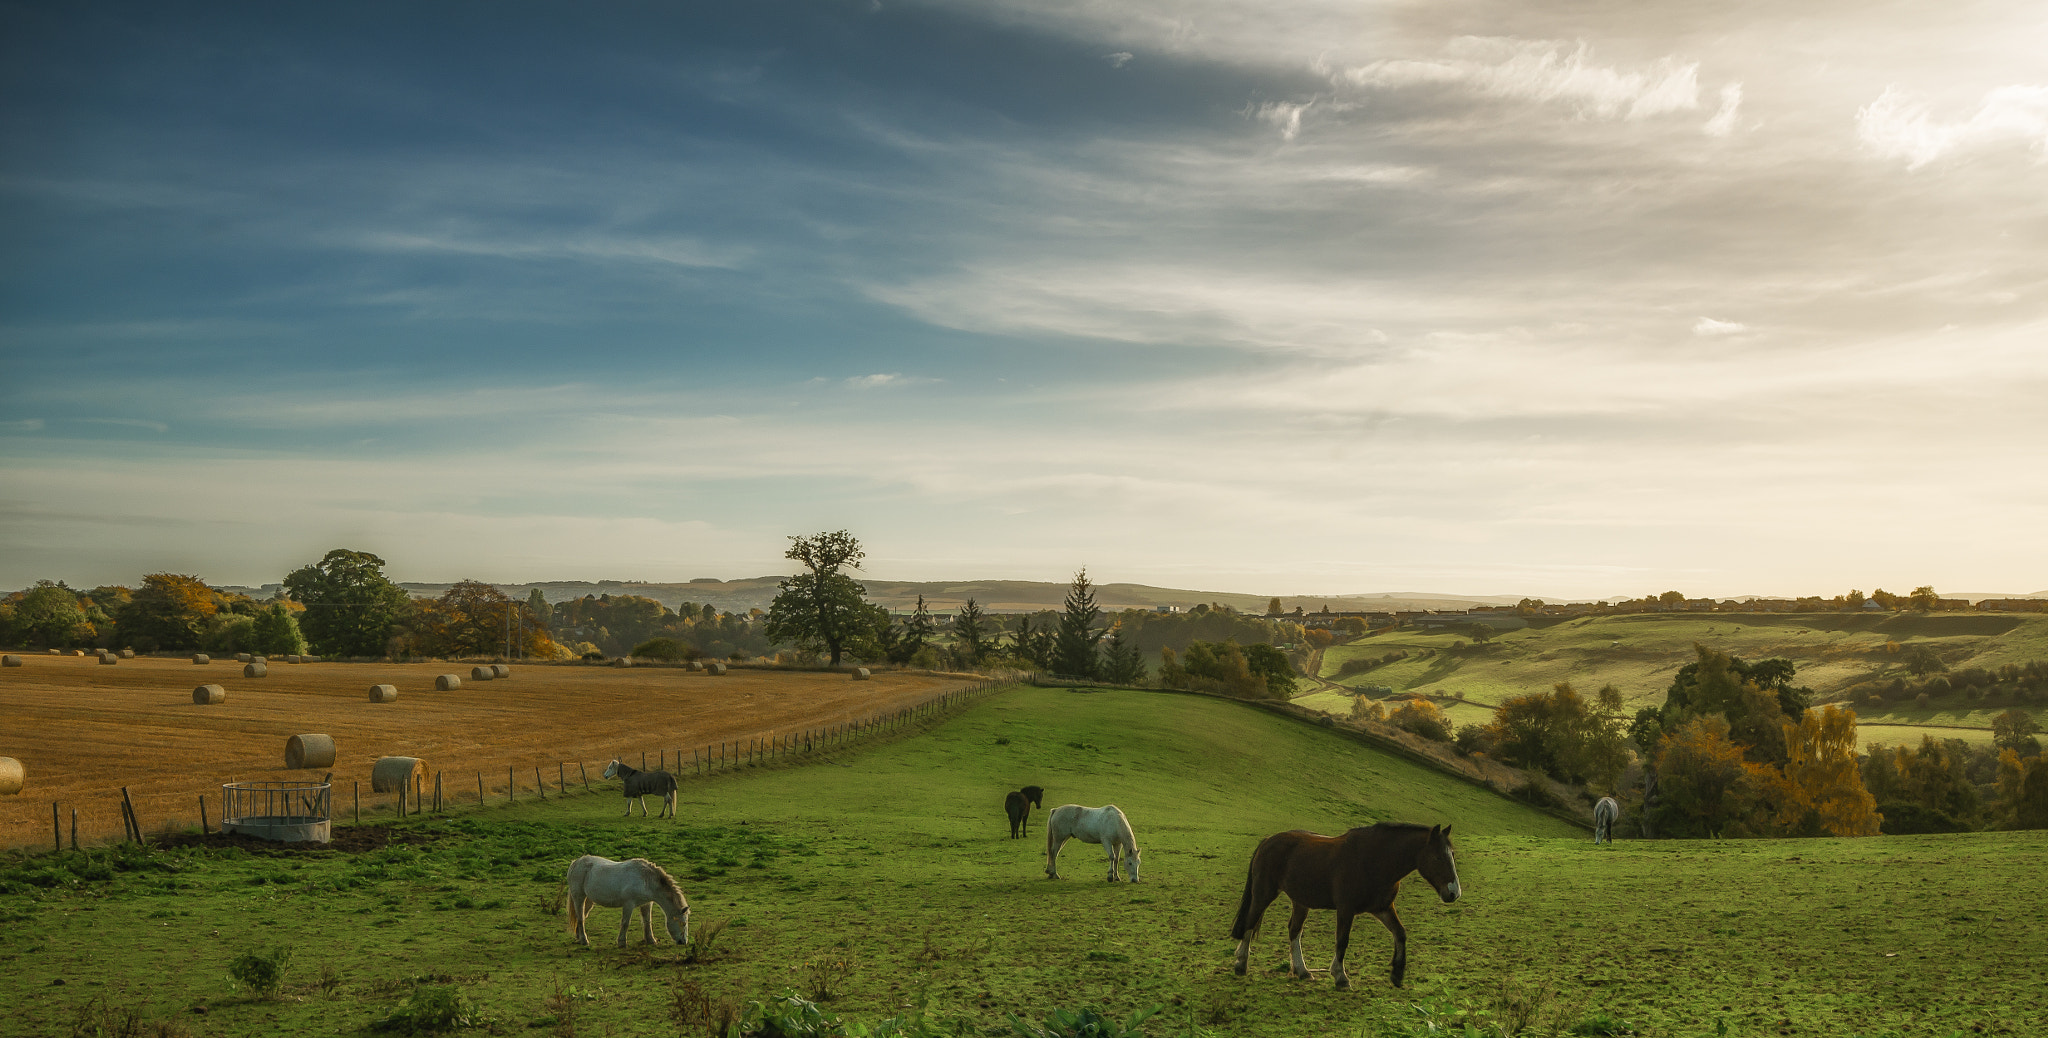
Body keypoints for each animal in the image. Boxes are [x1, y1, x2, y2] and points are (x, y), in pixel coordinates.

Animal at [1220, 823, 1466, 986]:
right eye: (1437, 857)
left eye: (1452, 855)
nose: (1453, 893)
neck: (1375, 860)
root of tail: (1268, 840)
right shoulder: (1346, 909)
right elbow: (1342, 940)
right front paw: (1340, 975)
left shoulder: (1383, 909)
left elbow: (1400, 934)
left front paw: (1397, 974)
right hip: (1264, 893)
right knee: (1251, 921)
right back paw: (1241, 964)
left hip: (1300, 901)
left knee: (1294, 931)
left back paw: (1302, 970)